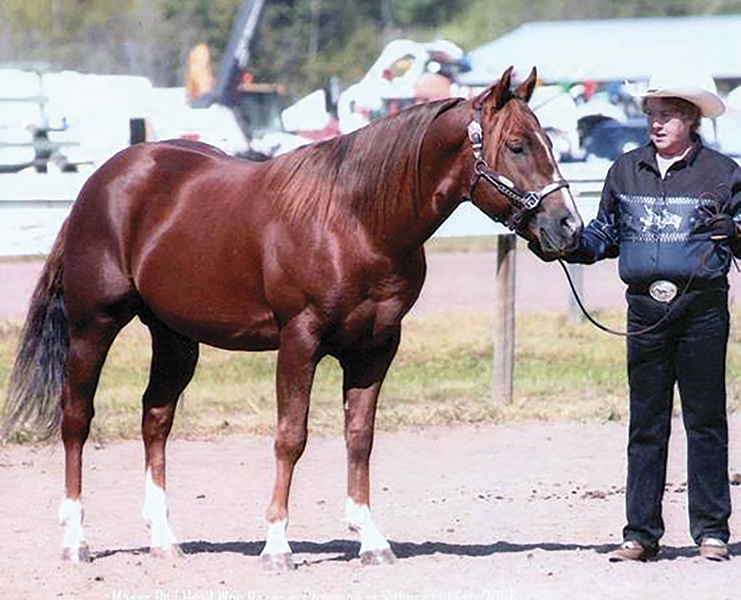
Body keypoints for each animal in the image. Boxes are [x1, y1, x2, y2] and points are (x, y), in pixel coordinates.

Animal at [2, 66, 582, 568]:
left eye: (552, 144)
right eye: (517, 145)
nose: (568, 227)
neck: (355, 220)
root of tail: (103, 180)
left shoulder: (376, 347)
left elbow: (360, 437)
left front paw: (371, 539)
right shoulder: (299, 340)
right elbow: (291, 436)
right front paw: (277, 545)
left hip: (174, 338)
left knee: (155, 420)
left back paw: (164, 540)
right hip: (92, 326)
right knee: (76, 420)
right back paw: (75, 541)